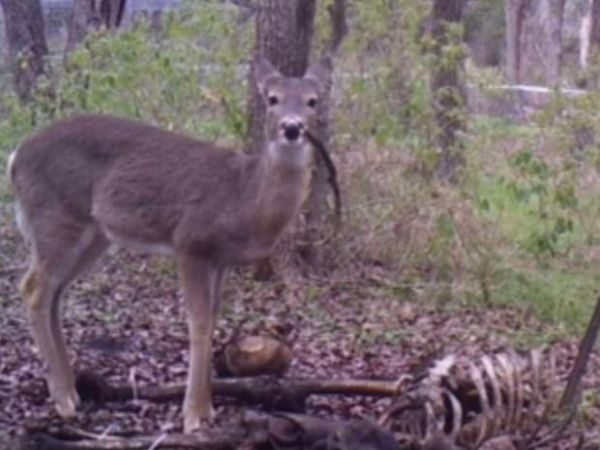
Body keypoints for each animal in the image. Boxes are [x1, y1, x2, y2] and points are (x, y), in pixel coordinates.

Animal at [8, 57, 328, 432]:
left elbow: (214, 319)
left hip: (94, 235)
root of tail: (15, 157)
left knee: (54, 293)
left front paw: (208, 409)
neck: (243, 198)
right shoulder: (190, 242)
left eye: (312, 101)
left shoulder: (221, 260)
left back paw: (73, 391)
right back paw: (62, 401)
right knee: (33, 288)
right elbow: (198, 322)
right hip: (55, 217)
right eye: (272, 98)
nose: (292, 128)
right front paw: (194, 416)